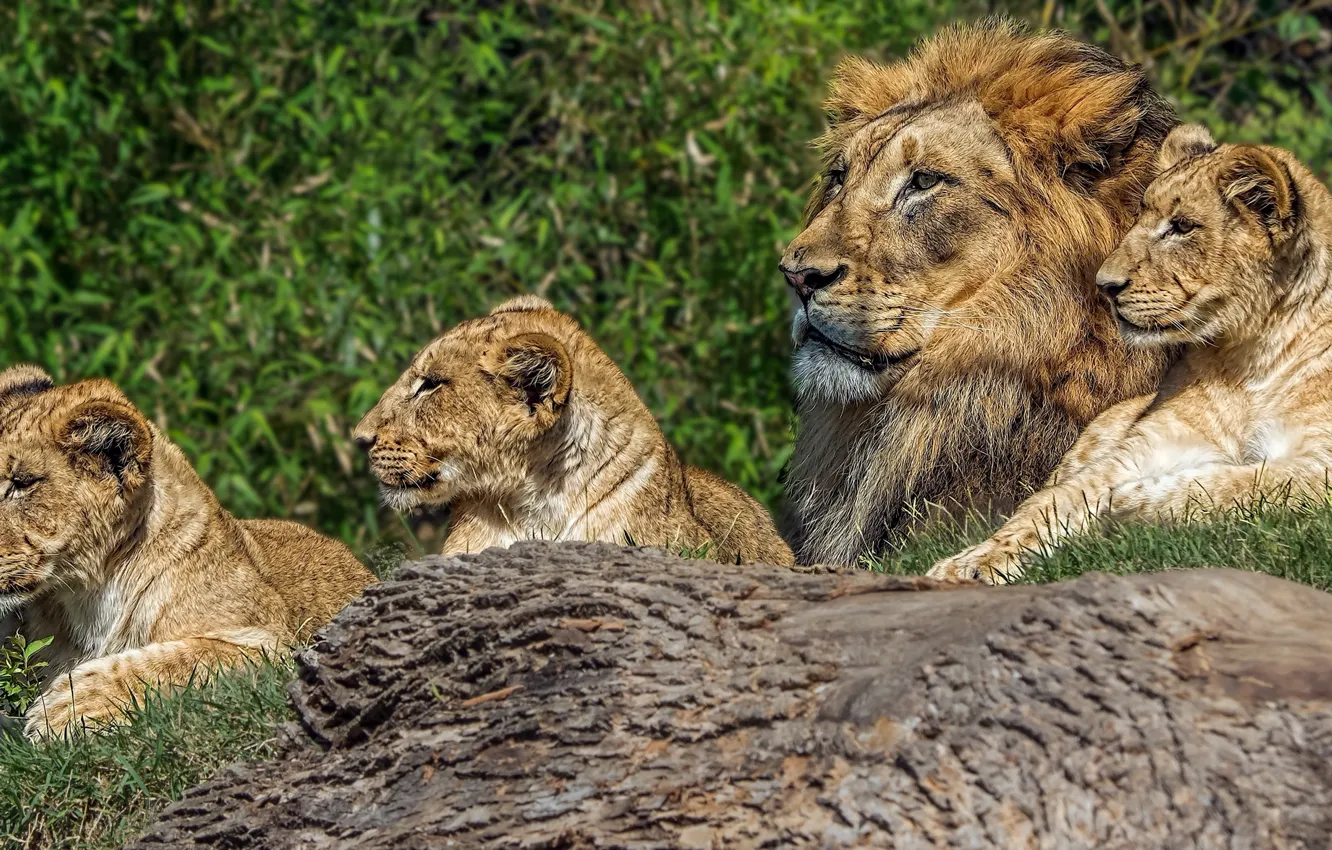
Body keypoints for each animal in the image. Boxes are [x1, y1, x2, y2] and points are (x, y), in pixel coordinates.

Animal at [932, 123, 1332, 583]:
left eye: (1181, 227)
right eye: (1141, 217)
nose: (1105, 285)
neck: (1249, 355)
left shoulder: (1321, 464)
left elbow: (1240, 483)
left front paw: (1130, 504)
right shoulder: (1143, 447)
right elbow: (1053, 502)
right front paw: (969, 564)